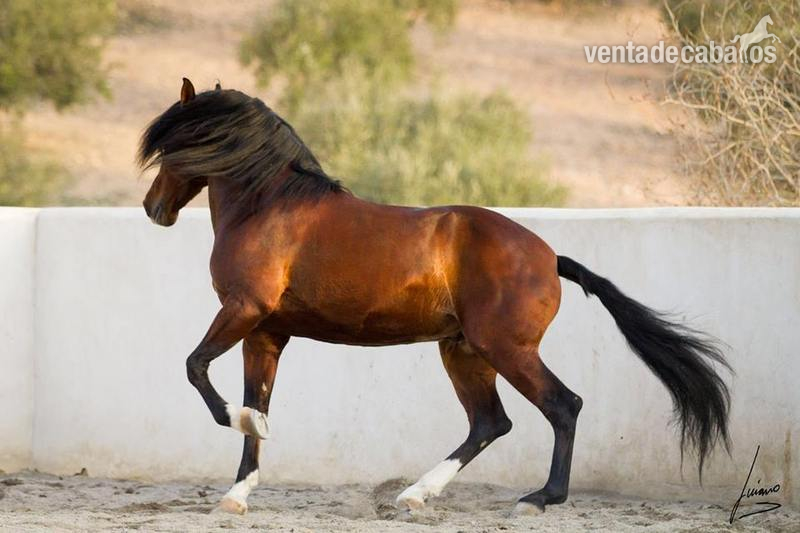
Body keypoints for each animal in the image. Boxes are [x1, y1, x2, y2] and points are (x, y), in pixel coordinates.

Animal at [138, 78, 731, 516]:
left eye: (172, 145)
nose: (153, 208)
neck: (269, 208)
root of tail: (548, 256)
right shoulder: (265, 332)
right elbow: (256, 402)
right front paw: (237, 491)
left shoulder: (242, 311)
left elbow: (196, 369)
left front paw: (238, 424)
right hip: (464, 352)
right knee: (490, 423)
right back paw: (415, 495)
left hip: (504, 349)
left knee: (562, 406)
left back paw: (539, 499)